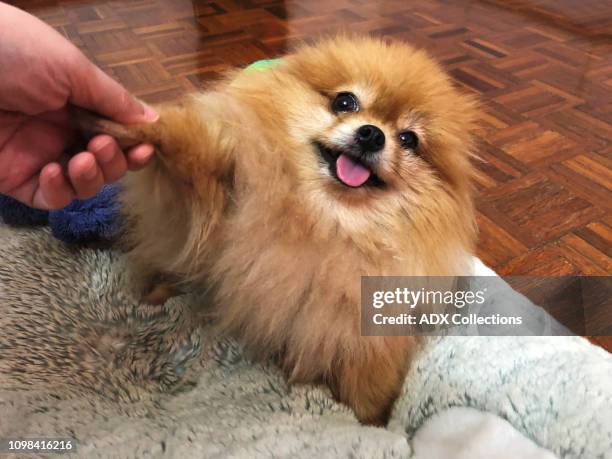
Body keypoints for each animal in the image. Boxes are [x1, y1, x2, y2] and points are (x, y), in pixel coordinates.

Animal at [79, 34, 478, 426]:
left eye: (409, 139)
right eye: (345, 101)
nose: (372, 134)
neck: (324, 217)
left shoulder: (360, 329)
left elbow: (369, 381)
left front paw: (374, 423)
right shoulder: (214, 193)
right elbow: (186, 148)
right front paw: (128, 123)